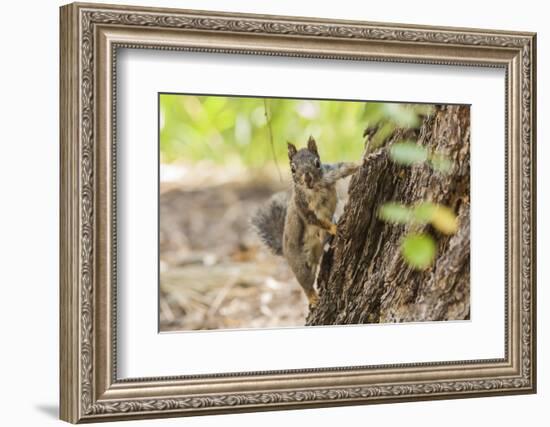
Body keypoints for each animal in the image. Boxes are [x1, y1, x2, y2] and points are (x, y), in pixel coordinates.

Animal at [252, 137, 360, 308]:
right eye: (292, 168)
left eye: (317, 163)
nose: (307, 178)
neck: (314, 188)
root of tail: (284, 250)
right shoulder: (302, 206)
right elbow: (315, 219)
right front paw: (334, 228)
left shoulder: (330, 172)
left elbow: (344, 167)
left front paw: (364, 161)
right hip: (299, 264)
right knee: (305, 283)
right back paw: (313, 298)